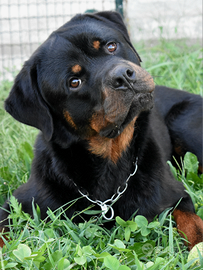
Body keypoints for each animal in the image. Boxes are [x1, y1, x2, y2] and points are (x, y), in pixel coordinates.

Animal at [0, 11, 203, 249]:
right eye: (74, 82)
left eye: (111, 46)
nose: (123, 76)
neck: (110, 159)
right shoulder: (19, 202)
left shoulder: (175, 194)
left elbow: (193, 224)